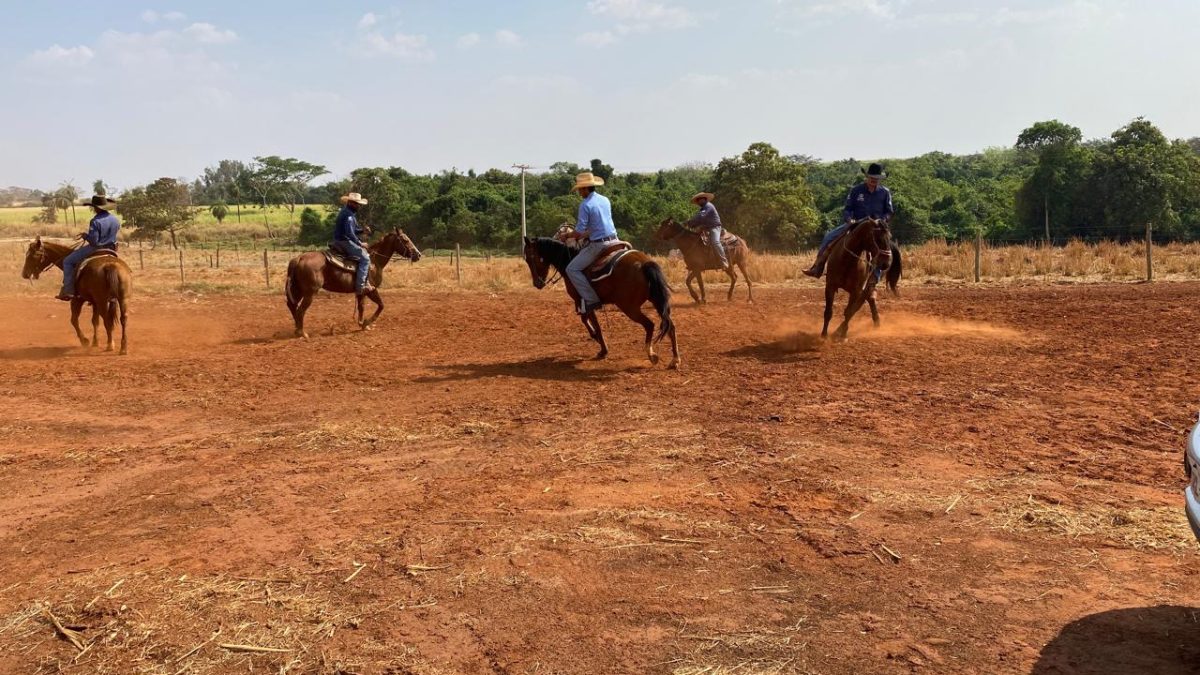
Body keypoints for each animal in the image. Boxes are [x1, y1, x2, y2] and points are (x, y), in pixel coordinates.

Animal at [285, 227, 422, 336]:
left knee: (292, 306)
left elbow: (361, 307)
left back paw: (297, 329)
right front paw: (367, 322)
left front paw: (362, 324)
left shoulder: (361, 292)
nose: (418, 254)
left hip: (298, 290)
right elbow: (381, 305)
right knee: (300, 310)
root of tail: (299, 258)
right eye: (405, 240)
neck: (374, 261)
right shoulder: (371, 290)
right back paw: (302, 333)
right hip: (310, 293)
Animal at [523, 235, 681, 367]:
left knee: (650, 325)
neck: (569, 259)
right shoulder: (585, 302)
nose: (537, 283)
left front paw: (602, 348)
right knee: (671, 326)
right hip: (657, 301)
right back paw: (675, 359)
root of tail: (644, 264)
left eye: (530, 258)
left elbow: (592, 323)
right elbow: (588, 320)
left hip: (629, 307)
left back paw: (651, 354)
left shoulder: (584, 300)